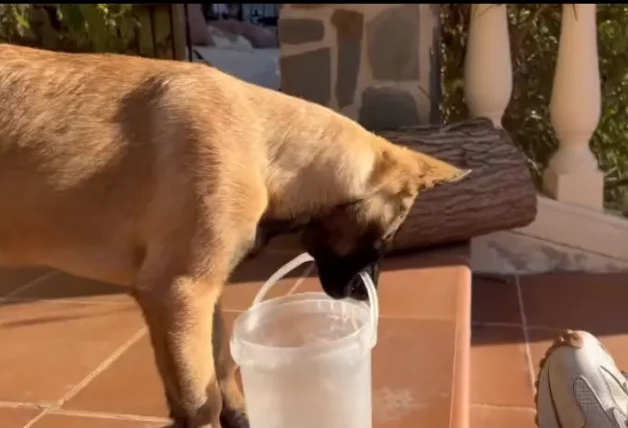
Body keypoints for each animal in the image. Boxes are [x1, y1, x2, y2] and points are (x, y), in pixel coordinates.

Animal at [0, 44, 466, 428]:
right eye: (390, 233)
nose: (364, 299)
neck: (264, 149)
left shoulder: (193, 299)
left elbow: (218, 364)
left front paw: (239, 415)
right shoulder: (181, 293)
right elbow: (200, 399)